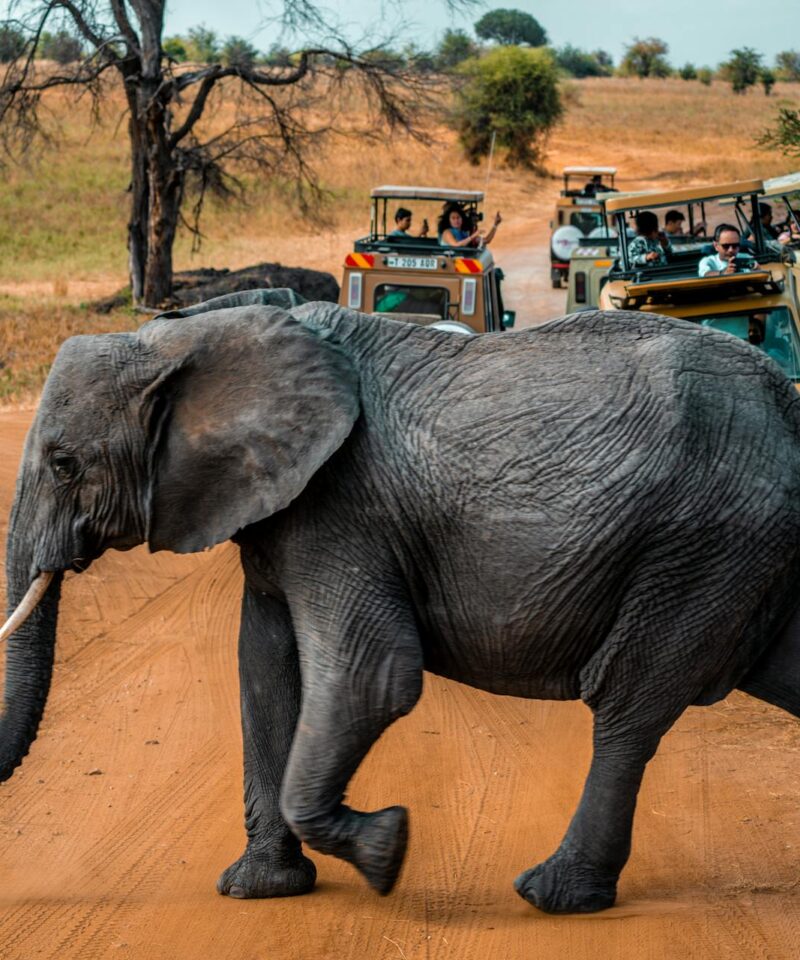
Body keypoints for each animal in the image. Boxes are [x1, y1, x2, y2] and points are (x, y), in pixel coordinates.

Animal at [1, 290, 800, 916]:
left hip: (702, 543)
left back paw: (553, 895)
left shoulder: (343, 506)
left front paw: (388, 850)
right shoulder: (280, 508)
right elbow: (264, 671)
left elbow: (372, 677)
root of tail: (788, 405)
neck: (200, 330)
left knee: (628, 704)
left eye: (65, 464)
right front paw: (261, 889)